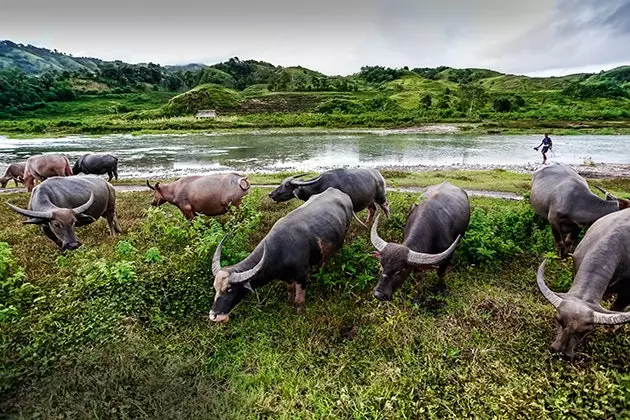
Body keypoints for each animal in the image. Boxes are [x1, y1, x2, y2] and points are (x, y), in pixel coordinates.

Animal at [211, 187, 356, 322]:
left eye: (229, 289)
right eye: (215, 287)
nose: (214, 315)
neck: (280, 249)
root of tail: (341, 193)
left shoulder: (302, 276)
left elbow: (299, 300)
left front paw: (299, 313)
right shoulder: (286, 277)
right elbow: (290, 291)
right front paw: (289, 303)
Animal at [536, 208, 630, 360]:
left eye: (586, 330)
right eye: (558, 319)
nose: (561, 352)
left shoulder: (626, 293)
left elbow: (617, 307)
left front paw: (611, 329)